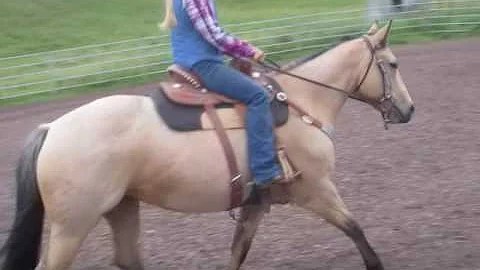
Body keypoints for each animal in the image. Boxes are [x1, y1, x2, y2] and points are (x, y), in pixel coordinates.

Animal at [0, 21, 412, 270]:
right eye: (392, 64)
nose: (408, 109)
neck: (301, 102)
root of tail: (52, 128)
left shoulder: (254, 205)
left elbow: (237, 252)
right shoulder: (317, 191)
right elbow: (356, 230)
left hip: (121, 208)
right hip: (72, 227)